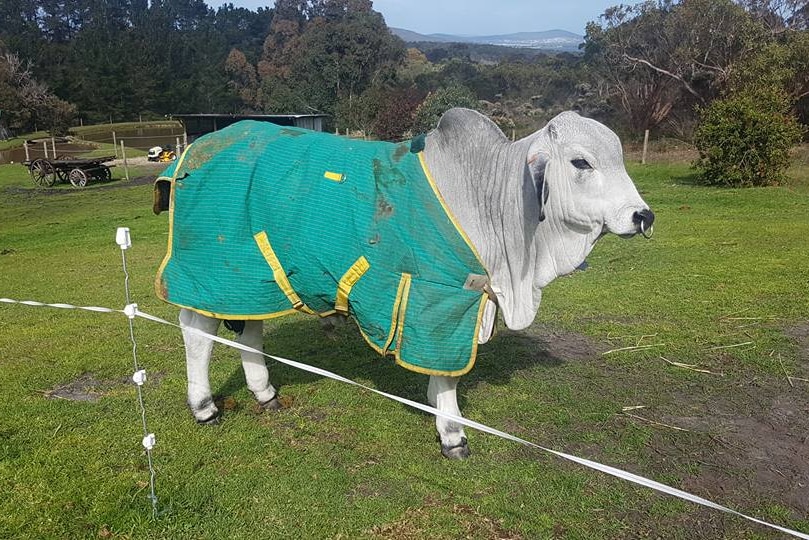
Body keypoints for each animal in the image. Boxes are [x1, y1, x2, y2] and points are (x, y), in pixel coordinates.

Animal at [177, 107, 652, 458]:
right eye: (580, 162)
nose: (643, 216)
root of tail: (199, 146)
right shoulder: (438, 301)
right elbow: (448, 375)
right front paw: (452, 434)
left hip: (248, 278)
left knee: (249, 330)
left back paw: (264, 392)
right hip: (209, 268)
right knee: (196, 332)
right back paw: (204, 407)